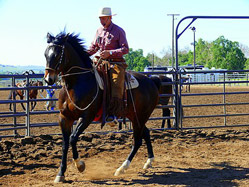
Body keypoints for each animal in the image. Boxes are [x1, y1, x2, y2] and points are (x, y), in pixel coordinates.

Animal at [43, 32, 160, 183]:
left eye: (58, 54)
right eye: (46, 54)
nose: (48, 79)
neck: (77, 83)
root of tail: (151, 81)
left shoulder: (87, 116)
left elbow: (73, 138)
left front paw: (80, 165)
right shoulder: (64, 117)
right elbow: (64, 144)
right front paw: (60, 174)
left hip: (140, 117)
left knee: (137, 140)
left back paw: (122, 168)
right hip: (135, 116)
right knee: (146, 133)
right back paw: (149, 161)